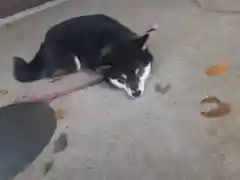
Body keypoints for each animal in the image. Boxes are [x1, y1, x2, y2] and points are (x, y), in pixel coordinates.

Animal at [13, 14, 157, 97]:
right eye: (121, 80)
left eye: (140, 72)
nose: (136, 93)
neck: (116, 41)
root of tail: (44, 42)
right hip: (73, 60)